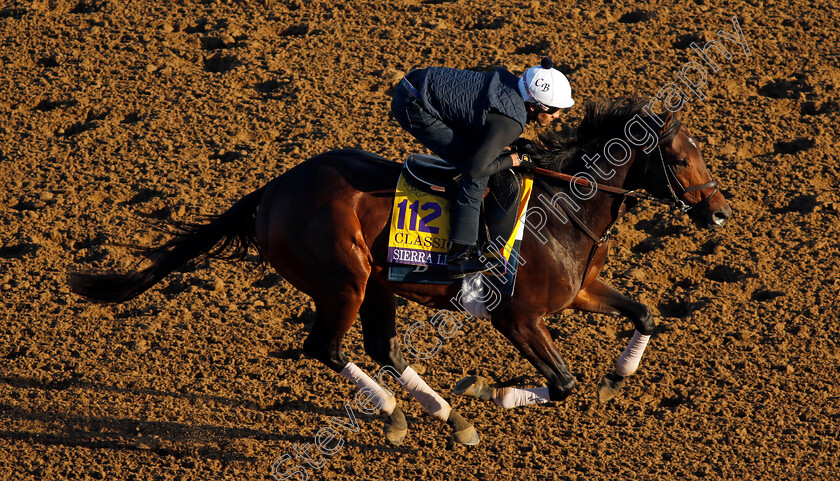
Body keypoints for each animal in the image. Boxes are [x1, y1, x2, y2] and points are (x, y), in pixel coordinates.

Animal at [69, 96, 732, 446]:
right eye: (678, 159)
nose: (720, 212)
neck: (561, 208)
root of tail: (272, 191)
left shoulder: (579, 291)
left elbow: (645, 314)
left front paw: (617, 377)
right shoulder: (518, 317)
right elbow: (564, 382)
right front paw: (491, 389)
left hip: (378, 285)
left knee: (381, 346)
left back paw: (445, 415)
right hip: (344, 280)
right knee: (326, 348)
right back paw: (396, 414)